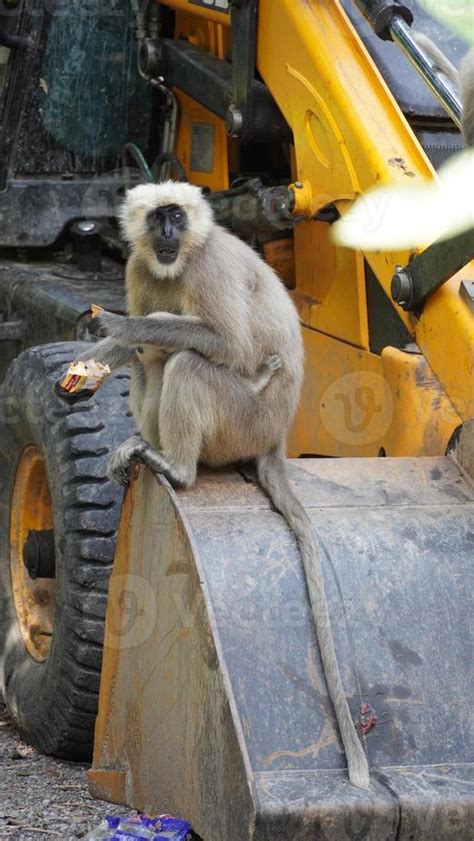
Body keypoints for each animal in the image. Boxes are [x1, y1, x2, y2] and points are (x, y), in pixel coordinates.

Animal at [60, 182, 370, 788]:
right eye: (158, 218)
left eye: (178, 217)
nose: (167, 232)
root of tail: (276, 437)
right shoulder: (138, 262)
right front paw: (91, 364)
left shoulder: (207, 264)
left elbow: (220, 341)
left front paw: (119, 328)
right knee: (156, 362)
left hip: (242, 420)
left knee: (186, 360)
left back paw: (178, 466)